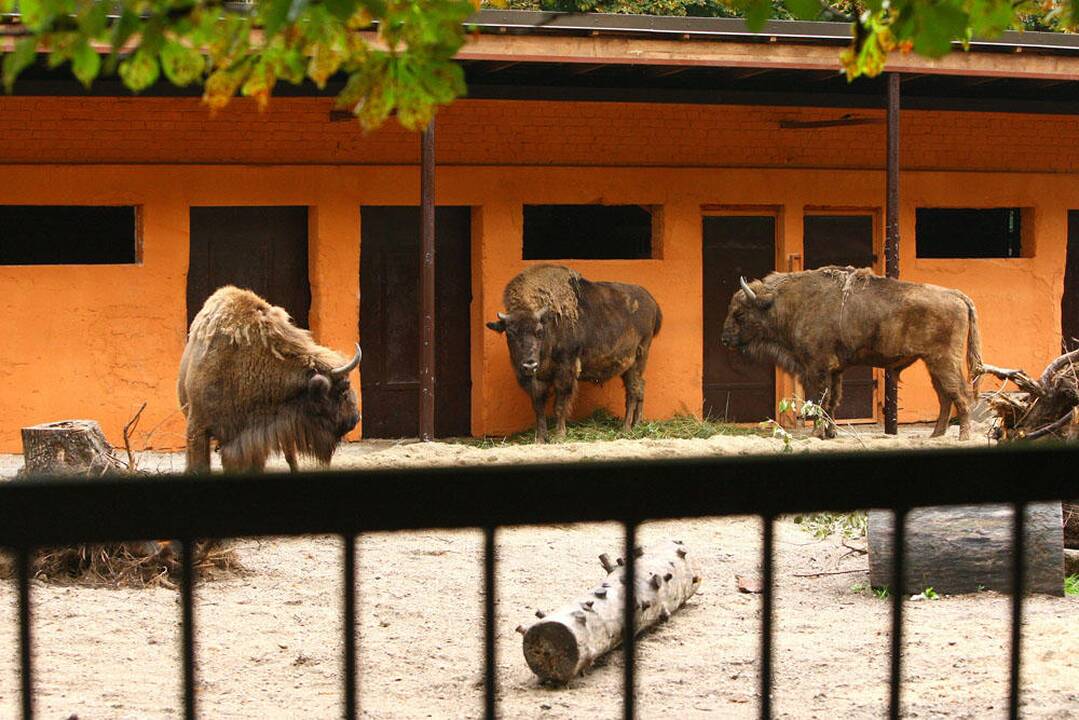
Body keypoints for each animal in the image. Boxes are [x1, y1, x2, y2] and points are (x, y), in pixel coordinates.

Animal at [487, 264, 656, 444]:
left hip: (638, 360)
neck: (550, 324)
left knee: (633, 391)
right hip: (629, 367)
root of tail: (652, 302)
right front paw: (540, 438)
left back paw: (626, 428)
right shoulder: (537, 380)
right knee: (639, 389)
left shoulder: (565, 371)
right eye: (510, 333)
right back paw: (637, 425)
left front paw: (559, 435)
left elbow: (559, 405)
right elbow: (538, 407)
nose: (529, 365)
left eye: (539, 332)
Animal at [720, 266, 984, 440]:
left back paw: (963, 437)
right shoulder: (835, 371)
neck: (787, 304)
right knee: (945, 396)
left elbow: (819, 400)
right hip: (932, 364)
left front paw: (817, 433)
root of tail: (956, 294)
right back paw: (936, 435)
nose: (725, 339)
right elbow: (832, 401)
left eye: (740, 313)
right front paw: (830, 433)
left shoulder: (816, 369)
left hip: (944, 361)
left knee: (960, 394)